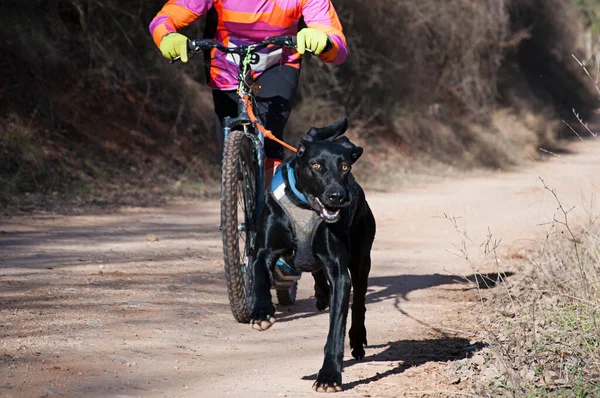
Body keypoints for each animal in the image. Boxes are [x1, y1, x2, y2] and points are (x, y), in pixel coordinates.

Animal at [248, 117, 376, 392]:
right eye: (316, 165)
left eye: (344, 167)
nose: (337, 196)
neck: (306, 206)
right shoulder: (263, 252)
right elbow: (260, 278)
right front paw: (261, 313)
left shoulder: (340, 273)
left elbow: (336, 328)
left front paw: (329, 375)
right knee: (315, 270)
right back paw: (321, 295)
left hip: (362, 259)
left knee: (359, 301)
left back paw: (357, 339)